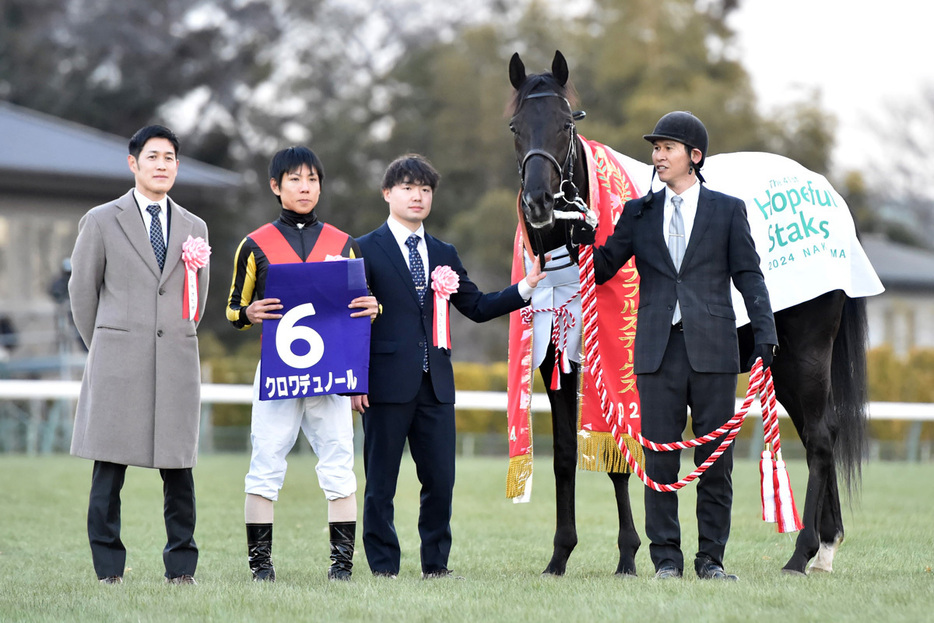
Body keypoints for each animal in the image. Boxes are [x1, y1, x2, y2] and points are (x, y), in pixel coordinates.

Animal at [508, 51, 872, 576]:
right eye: (516, 127)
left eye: (565, 125)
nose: (538, 203)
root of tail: (829, 196)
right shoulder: (558, 361)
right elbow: (564, 454)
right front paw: (560, 556)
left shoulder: (622, 363)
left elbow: (621, 456)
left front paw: (627, 555)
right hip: (783, 361)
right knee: (818, 431)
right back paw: (825, 546)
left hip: (805, 349)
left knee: (822, 440)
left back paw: (801, 554)